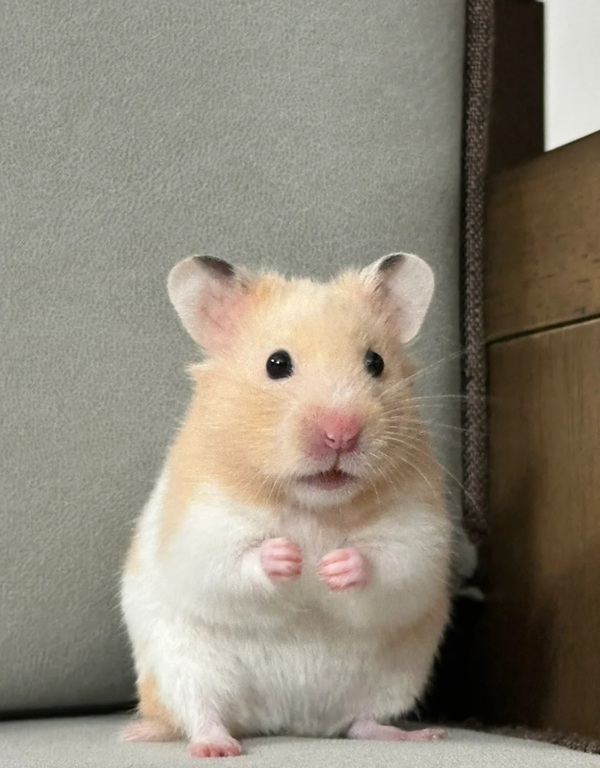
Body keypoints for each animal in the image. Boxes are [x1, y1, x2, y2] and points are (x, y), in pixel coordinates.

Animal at [120, 253, 452, 758]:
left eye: (375, 362)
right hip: (185, 667)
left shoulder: (418, 527)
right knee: (202, 715)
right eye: (277, 364)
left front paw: (333, 565)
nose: (341, 433)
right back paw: (214, 747)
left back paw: (419, 735)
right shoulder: (201, 524)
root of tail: (290, 719)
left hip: (394, 679)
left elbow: (393, 561)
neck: (313, 505)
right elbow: (232, 561)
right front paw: (290, 556)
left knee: (362, 722)